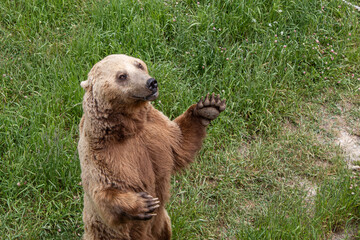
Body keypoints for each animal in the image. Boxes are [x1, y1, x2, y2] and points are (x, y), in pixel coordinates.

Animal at [78, 54, 225, 240]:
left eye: (139, 64)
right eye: (122, 76)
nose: (151, 82)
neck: (129, 127)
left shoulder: (155, 132)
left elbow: (180, 142)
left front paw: (209, 106)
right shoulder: (101, 153)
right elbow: (103, 192)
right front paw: (145, 203)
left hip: (163, 224)